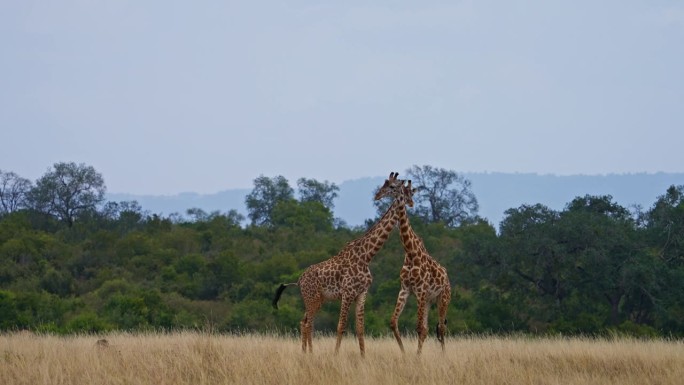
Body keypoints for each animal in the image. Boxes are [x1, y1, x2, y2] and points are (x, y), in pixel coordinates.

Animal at [272, 171, 412, 354]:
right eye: (388, 184)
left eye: (392, 186)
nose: (377, 196)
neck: (366, 255)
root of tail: (299, 281)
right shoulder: (347, 292)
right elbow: (341, 326)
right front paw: (336, 354)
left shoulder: (361, 293)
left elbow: (360, 328)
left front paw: (363, 356)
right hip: (312, 299)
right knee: (308, 324)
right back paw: (310, 353)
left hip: (318, 299)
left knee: (304, 322)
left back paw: (305, 352)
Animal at [390, 180, 454, 352]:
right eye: (398, 190)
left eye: (410, 192)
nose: (410, 203)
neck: (411, 253)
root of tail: (447, 278)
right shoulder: (405, 289)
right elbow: (394, 322)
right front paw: (405, 353)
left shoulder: (420, 290)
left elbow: (419, 327)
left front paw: (415, 356)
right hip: (428, 300)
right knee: (429, 328)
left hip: (443, 298)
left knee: (441, 327)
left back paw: (444, 354)